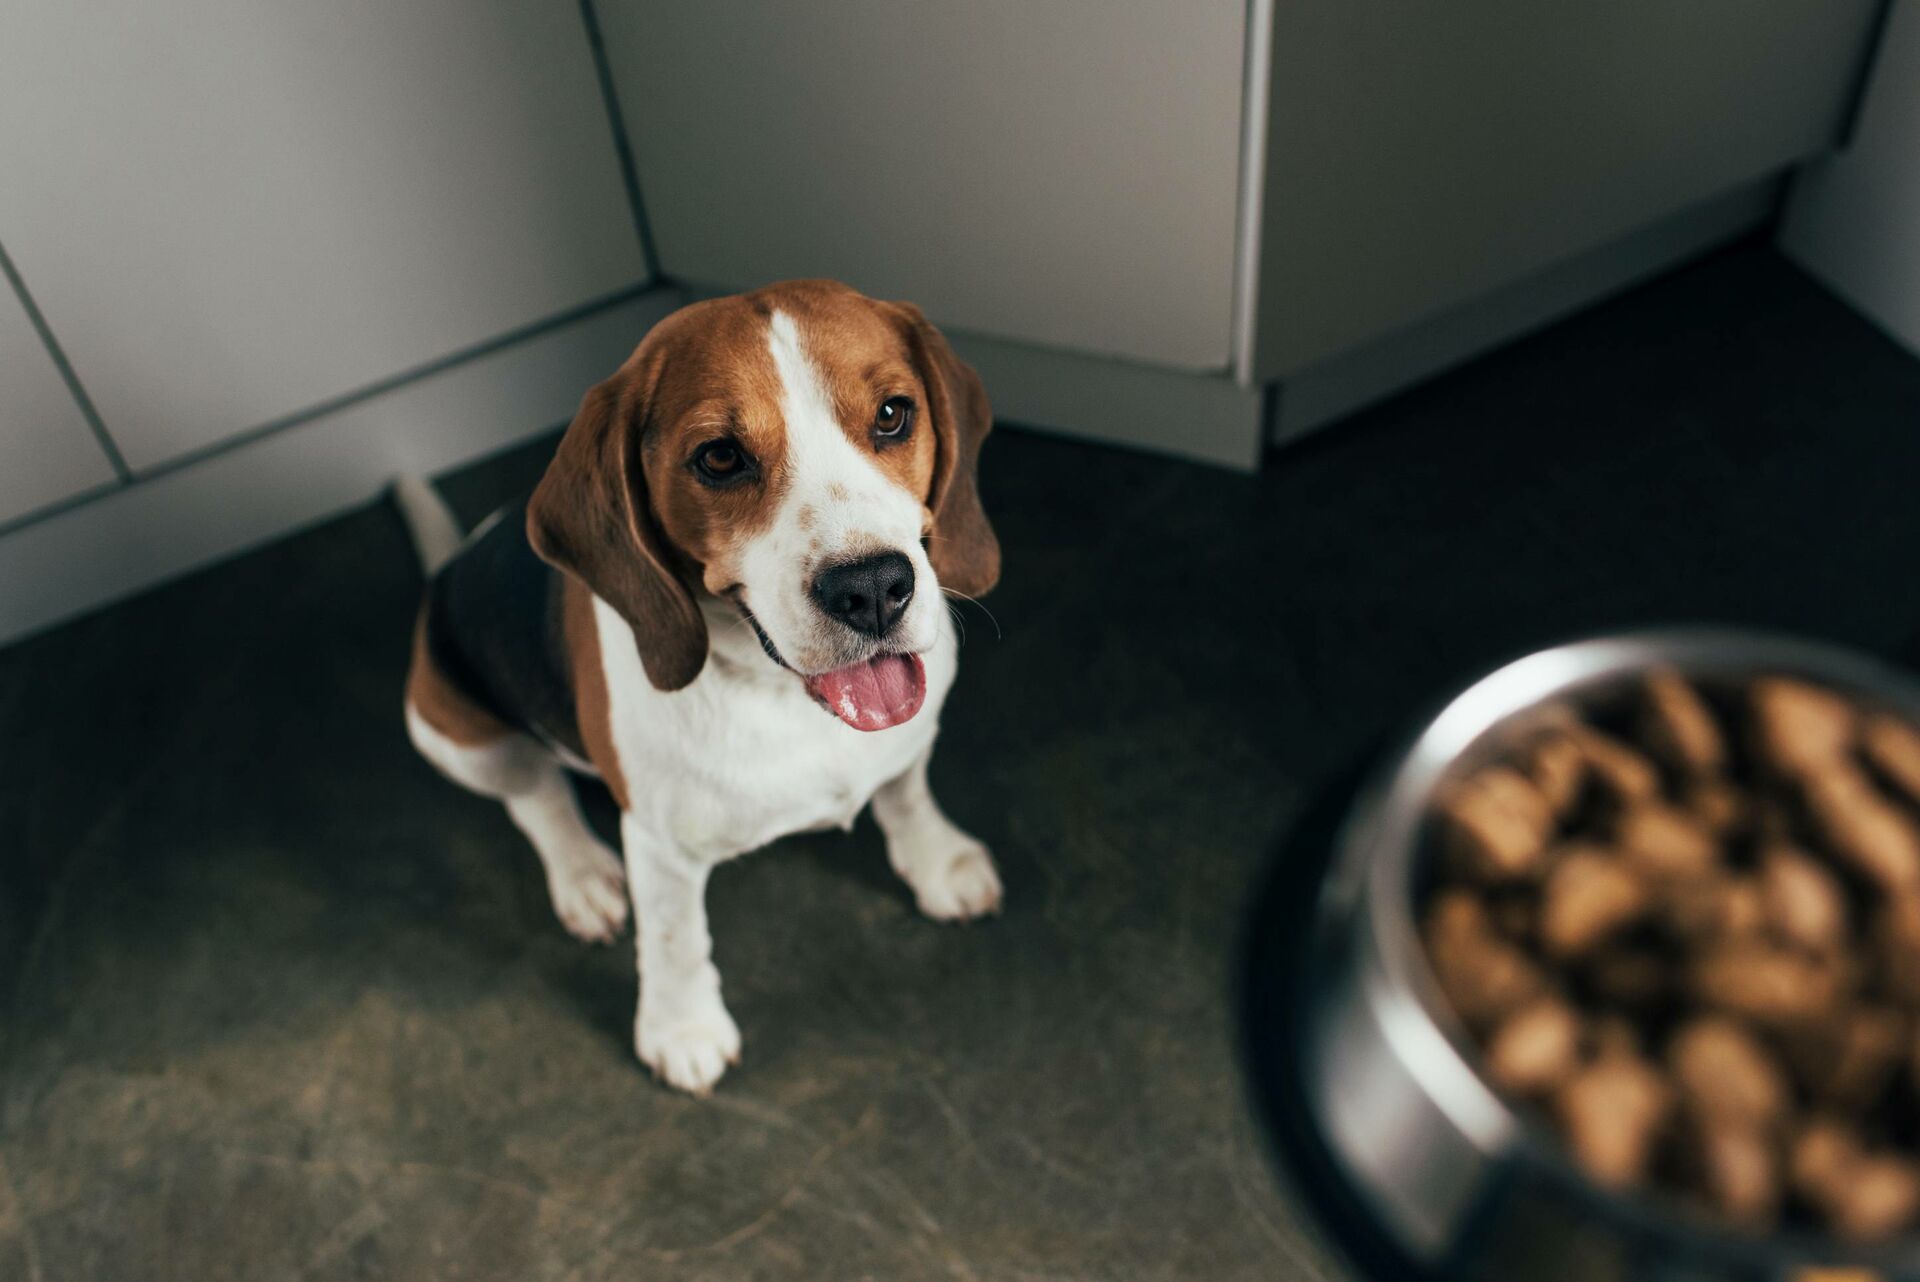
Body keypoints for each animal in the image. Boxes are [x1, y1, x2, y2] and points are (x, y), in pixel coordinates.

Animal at [401, 278, 1006, 1090]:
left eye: (891, 415)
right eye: (720, 457)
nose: (875, 588)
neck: (783, 697)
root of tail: (445, 571)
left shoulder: (909, 738)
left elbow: (906, 790)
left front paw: (939, 863)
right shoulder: (661, 844)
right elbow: (675, 936)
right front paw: (681, 1030)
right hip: (455, 733)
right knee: (534, 797)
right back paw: (583, 875)